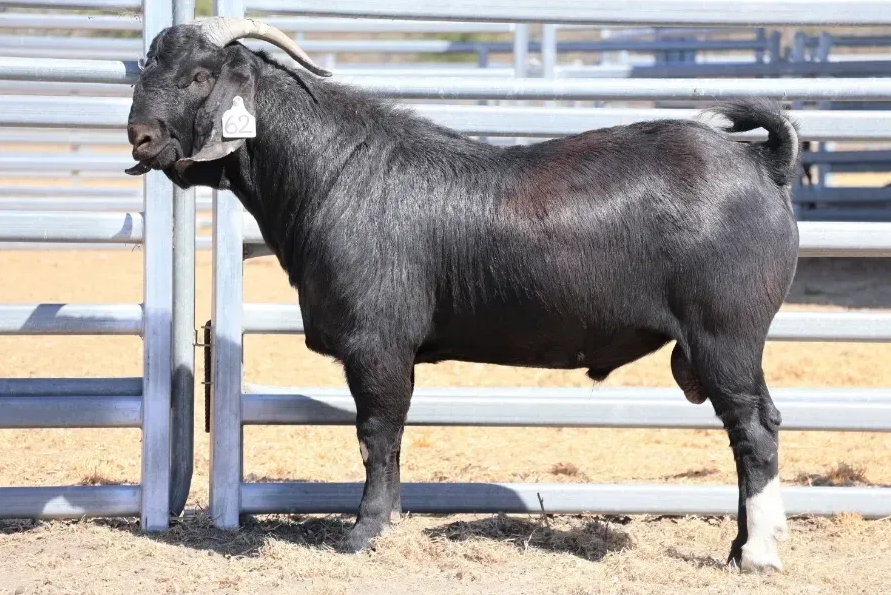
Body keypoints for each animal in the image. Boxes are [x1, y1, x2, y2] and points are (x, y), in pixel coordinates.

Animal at [125, 17, 801, 573]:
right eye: (145, 68)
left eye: (200, 76)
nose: (140, 137)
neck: (335, 171)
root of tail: (761, 164)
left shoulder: (378, 343)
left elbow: (378, 433)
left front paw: (364, 531)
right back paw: (738, 546)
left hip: (726, 331)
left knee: (755, 426)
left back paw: (758, 554)